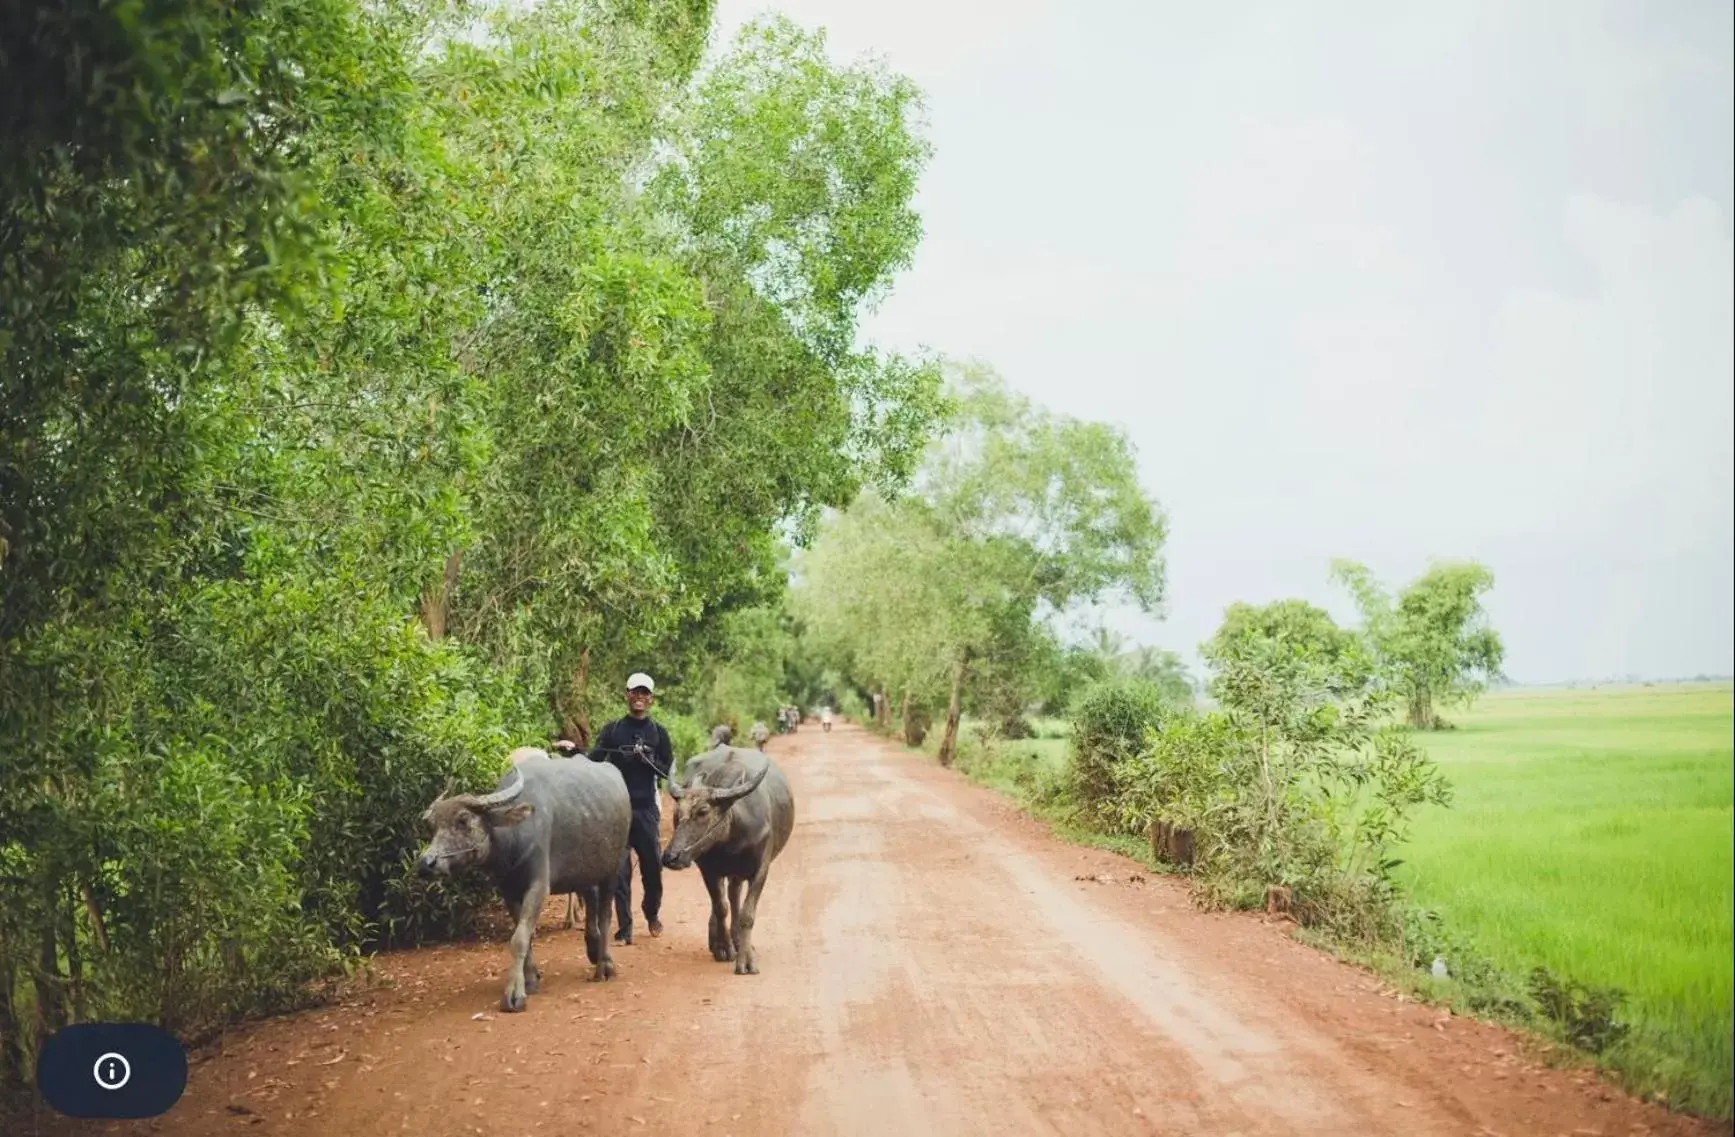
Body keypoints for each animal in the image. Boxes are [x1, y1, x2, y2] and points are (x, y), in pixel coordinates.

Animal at [416, 753, 635, 1006]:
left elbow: (520, 938)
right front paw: (530, 979)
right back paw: (592, 948)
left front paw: (514, 993)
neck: (514, 839)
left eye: (463, 820)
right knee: (590, 898)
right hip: (586, 869)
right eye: (433, 825)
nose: (426, 864)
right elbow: (524, 936)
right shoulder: (509, 891)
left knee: (605, 915)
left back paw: (604, 966)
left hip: (613, 868)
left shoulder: (538, 886)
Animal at [659, 746, 794, 979]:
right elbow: (721, 907)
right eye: (677, 813)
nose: (670, 857)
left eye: (703, 812)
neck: (733, 837)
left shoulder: (761, 870)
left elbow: (747, 915)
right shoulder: (708, 870)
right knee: (725, 899)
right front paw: (724, 948)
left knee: (734, 894)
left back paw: (738, 940)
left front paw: (746, 960)